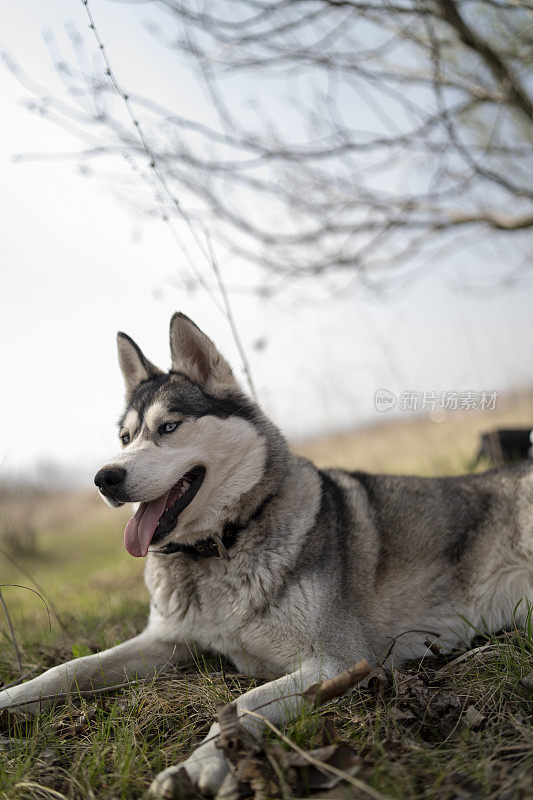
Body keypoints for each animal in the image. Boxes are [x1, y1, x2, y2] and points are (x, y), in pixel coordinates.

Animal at [1, 314, 532, 800]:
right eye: (125, 439)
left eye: (169, 427)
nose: (104, 478)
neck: (220, 547)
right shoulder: (166, 640)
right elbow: (68, 670)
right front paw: (9, 701)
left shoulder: (337, 661)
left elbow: (243, 705)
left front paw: (197, 768)